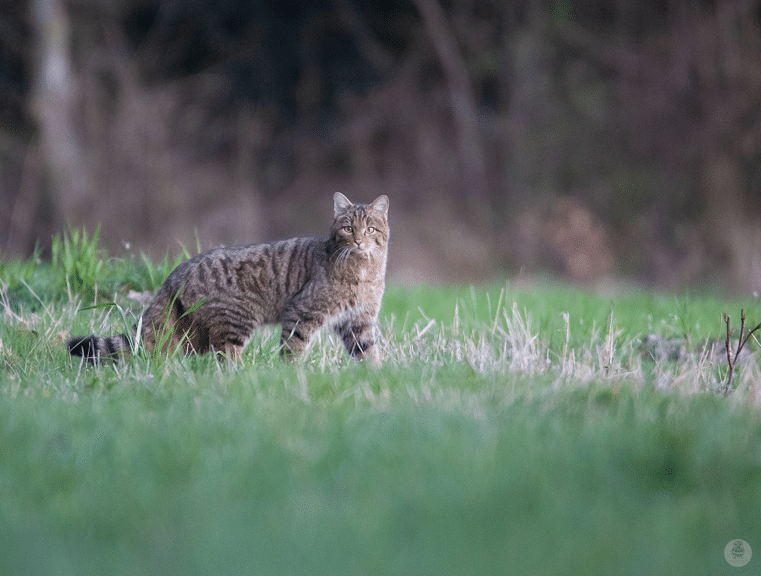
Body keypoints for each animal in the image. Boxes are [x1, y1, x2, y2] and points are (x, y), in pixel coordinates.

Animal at [67, 195, 388, 364]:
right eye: (348, 228)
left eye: (371, 229)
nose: (359, 241)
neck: (365, 270)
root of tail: (174, 275)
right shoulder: (302, 313)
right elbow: (292, 350)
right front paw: (290, 374)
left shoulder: (358, 321)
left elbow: (368, 352)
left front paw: (375, 375)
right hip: (235, 321)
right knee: (224, 359)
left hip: (193, 334)